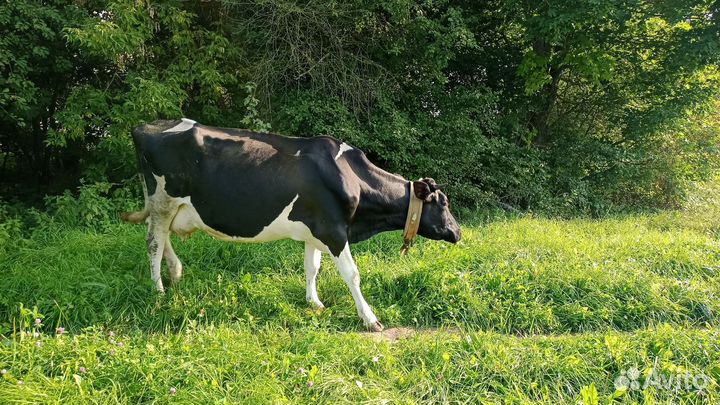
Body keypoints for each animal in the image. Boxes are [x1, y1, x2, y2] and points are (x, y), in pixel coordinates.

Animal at [121, 118, 461, 331]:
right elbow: (352, 274)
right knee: (153, 242)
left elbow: (312, 267)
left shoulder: (316, 231)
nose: (458, 233)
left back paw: (176, 273)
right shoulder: (335, 230)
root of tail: (146, 125)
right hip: (163, 199)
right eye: (443, 203)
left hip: (169, 206)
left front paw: (315, 302)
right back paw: (159, 290)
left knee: (163, 238)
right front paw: (370, 319)